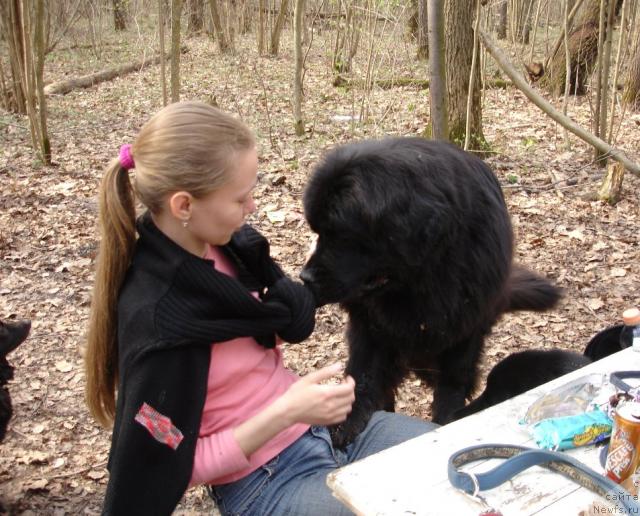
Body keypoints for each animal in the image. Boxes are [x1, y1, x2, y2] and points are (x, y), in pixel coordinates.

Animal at [300, 138, 560, 448]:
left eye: (342, 237)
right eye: (318, 233)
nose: (304, 278)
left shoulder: (465, 328)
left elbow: (452, 382)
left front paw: (446, 421)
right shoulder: (371, 328)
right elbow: (362, 374)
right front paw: (347, 421)